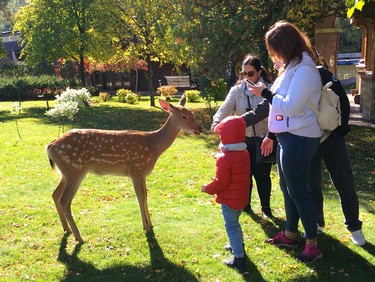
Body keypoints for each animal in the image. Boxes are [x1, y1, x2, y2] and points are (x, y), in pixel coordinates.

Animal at [48, 96, 204, 242]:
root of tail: (50, 146)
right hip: (75, 169)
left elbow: (145, 196)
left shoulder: (143, 174)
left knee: (55, 194)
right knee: (64, 200)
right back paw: (79, 237)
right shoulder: (136, 169)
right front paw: (146, 227)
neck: (154, 146)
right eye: (184, 116)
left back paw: (67, 229)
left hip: (66, 172)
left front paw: (150, 224)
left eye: (192, 113)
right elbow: (140, 197)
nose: (200, 128)